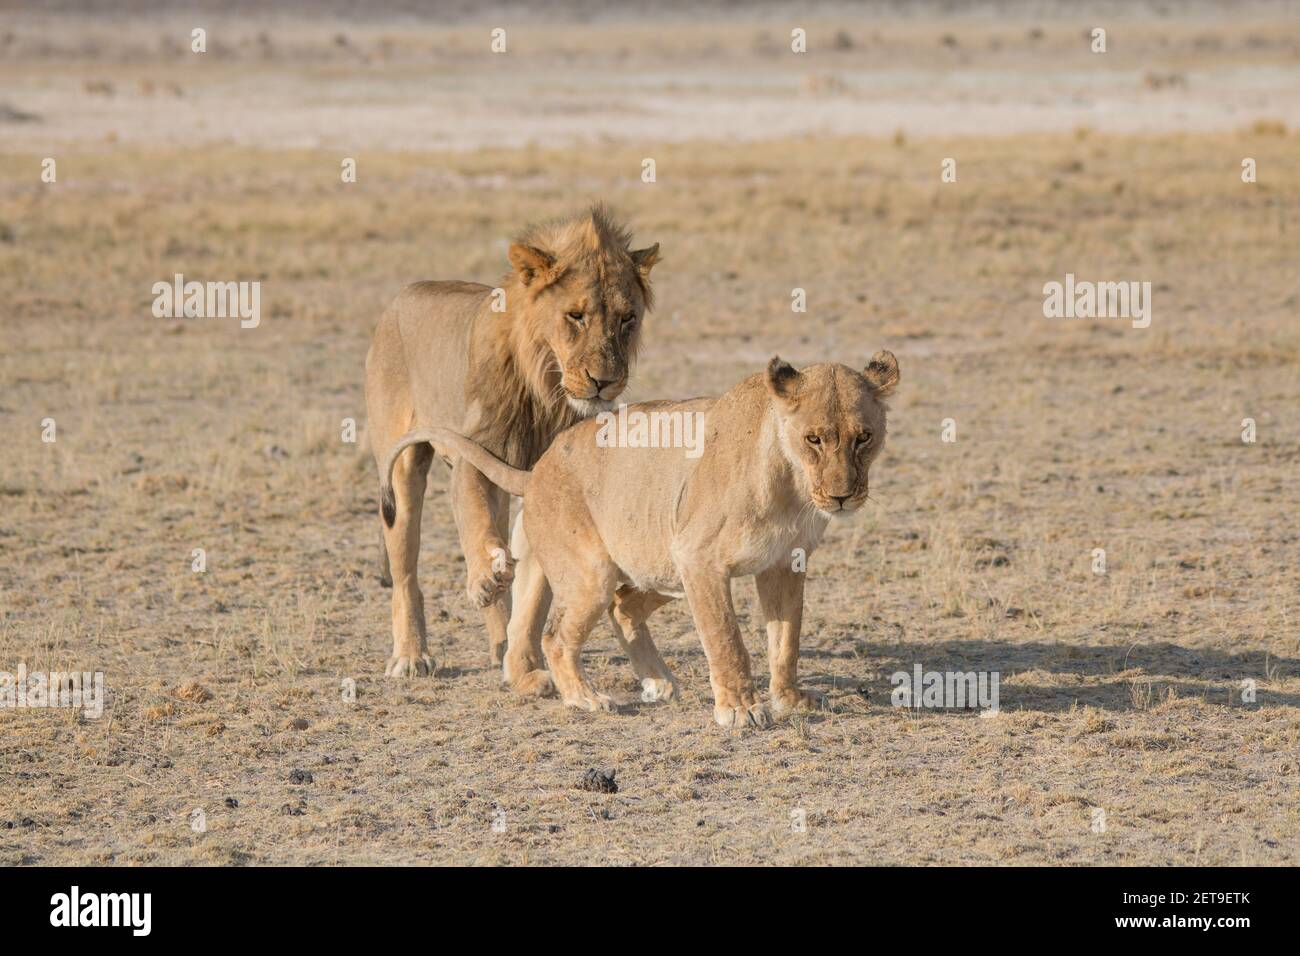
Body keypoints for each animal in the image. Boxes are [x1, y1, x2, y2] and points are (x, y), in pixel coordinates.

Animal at [366, 205, 660, 676]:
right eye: (576, 316)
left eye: (627, 319)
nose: (604, 381)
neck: (547, 388)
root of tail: (403, 294)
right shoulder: (475, 451)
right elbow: (475, 522)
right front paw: (485, 578)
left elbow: (537, 590)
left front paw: (527, 660)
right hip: (400, 471)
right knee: (406, 571)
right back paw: (411, 656)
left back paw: (501, 641)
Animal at [379, 356, 899, 728]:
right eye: (814, 438)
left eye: (863, 437)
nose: (842, 495)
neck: (793, 484)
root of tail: (538, 467)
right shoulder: (699, 558)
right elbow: (726, 639)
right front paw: (741, 709)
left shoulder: (783, 564)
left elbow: (786, 639)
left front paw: (790, 699)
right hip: (601, 570)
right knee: (557, 635)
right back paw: (586, 698)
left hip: (654, 564)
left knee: (619, 607)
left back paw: (656, 682)